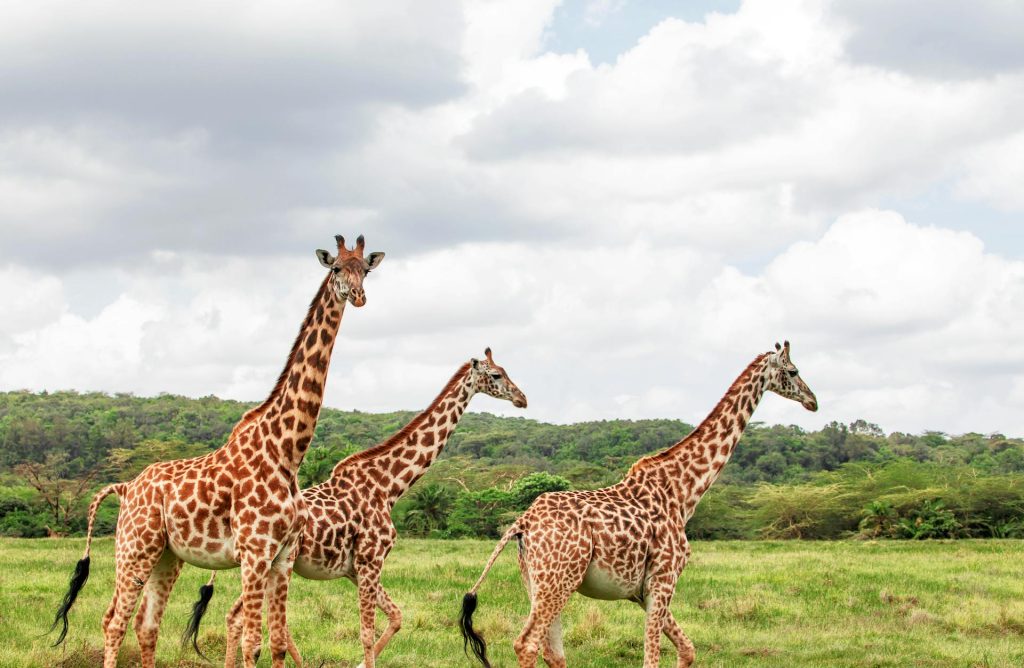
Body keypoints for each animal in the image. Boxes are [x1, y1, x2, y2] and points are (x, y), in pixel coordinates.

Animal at [48, 234, 385, 667]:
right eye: (337, 268)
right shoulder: (255, 552)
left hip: (166, 555)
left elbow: (277, 642)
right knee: (113, 622)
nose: (358, 296)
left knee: (146, 625)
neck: (287, 452)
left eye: (366, 270)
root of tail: (125, 487)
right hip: (134, 548)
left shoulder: (282, 556)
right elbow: (252, 643)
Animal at [192, 346, 528, 667]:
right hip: (268, 562)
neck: (389, 486)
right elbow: (368, 631)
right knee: (240, 617)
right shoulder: (372, 560)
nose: (522, 398)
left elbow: (396, 616)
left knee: (241, 618)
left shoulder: (356, 569)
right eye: (496, 375)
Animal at [460, 342, 819, 663]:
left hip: (538, 581)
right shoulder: (664, 579)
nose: (813, 401)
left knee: (553, 652)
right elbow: (652, 658)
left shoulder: (642, 591)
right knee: (527, 644)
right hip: (559, 579)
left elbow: (688, 650)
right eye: (793, 370)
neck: (683, 492)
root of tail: (523, 522)